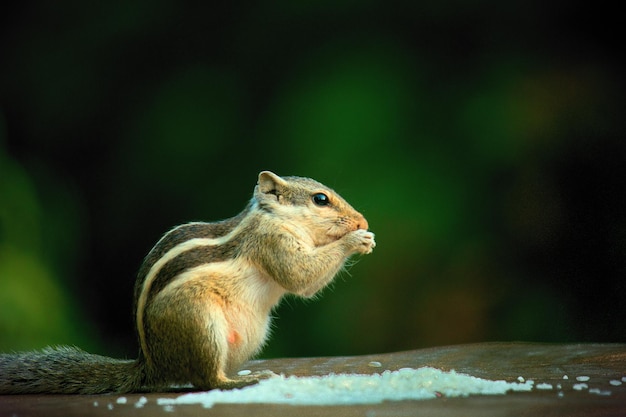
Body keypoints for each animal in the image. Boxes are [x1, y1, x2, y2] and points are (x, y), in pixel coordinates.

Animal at [0, 170, 376, 394]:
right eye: (320, 199)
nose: (363, 220)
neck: (273, 217)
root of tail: (152, 367)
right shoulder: (271, 242)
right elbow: (300, 276)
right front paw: (356, 240)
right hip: (198, 324)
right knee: (206, 379)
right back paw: (245, 381)